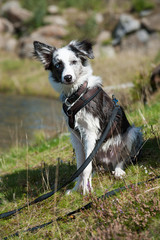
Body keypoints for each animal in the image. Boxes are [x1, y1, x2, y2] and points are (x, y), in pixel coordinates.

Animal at [33, 39, 142, 195]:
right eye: (58, 64)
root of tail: (107, 162)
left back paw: (118, 171)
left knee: (122, 159)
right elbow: (81, 166)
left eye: (74, 61)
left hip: (133, 133)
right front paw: (77, 188)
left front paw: (85, 190)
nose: (68, 77)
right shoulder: (75, 136)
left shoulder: (89, 132)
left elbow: (85, 168)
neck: (76, 95)